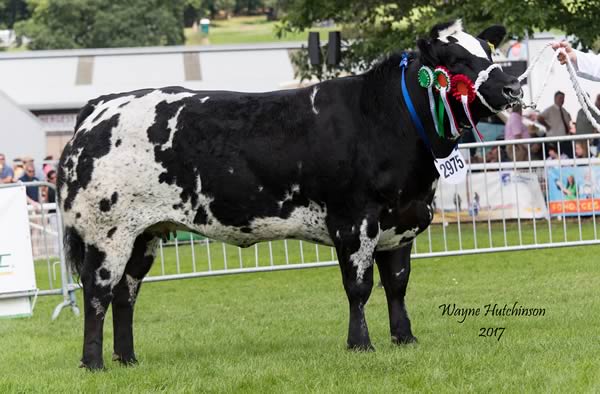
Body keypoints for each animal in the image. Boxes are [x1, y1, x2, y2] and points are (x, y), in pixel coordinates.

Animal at [58, 20, 524, 370]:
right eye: (457, 61)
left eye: (490, 52)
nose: (513, 89)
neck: (386, 119)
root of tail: (100, 107)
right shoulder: (354, 221)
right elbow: (359, 286)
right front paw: (361, 344)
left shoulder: (402, 221)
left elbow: (397, 283)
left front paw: (404, 338)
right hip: (107, 232)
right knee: (98, 291)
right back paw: (93, 363)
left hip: (145, 233)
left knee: (126, 292)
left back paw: (128, 359)